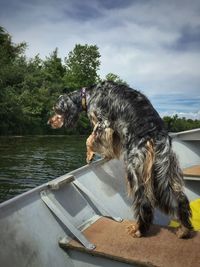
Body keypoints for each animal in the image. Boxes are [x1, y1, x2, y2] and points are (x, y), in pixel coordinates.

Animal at [47, 81, 193, 239]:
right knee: (179, 199)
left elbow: (89, 139)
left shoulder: (103, 123)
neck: (88, 94)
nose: (49, 122)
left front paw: (90, 154)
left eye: (56, 110)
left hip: (134, 167)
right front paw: (106, 155)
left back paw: (139, 229)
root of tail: (156, 135)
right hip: (164, 171)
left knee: (145, 202)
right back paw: (184, 229)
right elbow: (109, 145)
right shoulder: (114, 130)